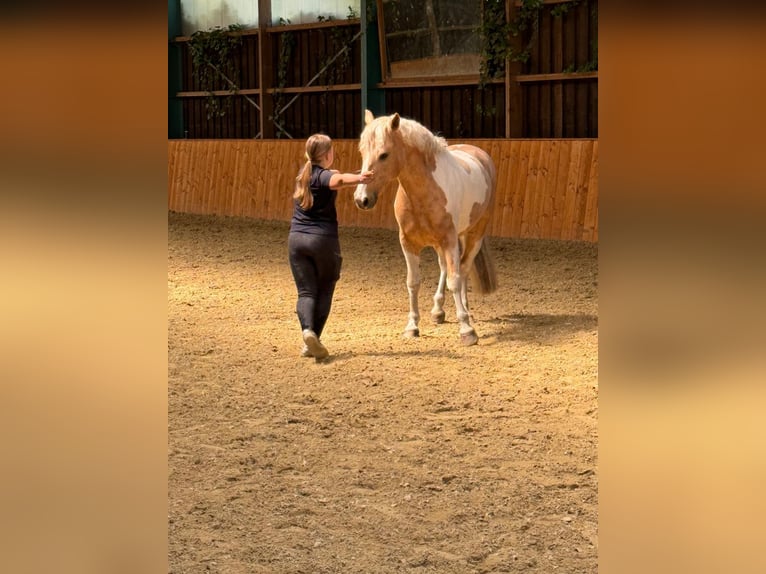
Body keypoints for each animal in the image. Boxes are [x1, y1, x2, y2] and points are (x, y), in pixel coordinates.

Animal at [353, 110, 498, 346]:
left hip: (474, 233)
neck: (424, 192)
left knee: (463, 269)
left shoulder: (449, 239)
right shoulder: (409, 243)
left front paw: (467, 330)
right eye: (362, 152)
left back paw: (466, 311)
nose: (361, 199)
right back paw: (438, 311)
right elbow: (413, 282)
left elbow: (455, 280)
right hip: (443, 242)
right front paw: (412, 326)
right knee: (445, 267)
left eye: (384, 155)